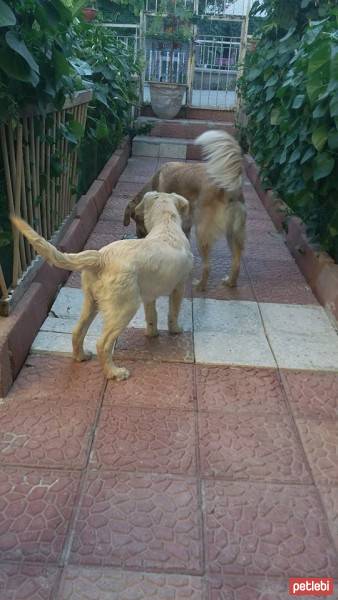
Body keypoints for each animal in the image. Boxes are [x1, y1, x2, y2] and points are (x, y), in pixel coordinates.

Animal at [10, 192, 193, 380]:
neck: (166, 225)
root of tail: (100, 257)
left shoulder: (150, 295)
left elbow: (152, 316)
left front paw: (152, 334)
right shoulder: (179, 286)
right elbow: (173, 312)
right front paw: (176, 330)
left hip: (91, 301)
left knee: (77, 332)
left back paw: (81, 356)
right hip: (125, 307)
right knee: (103, 344)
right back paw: (114, 372)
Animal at [124, 131, 246, 290]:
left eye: (138, 220)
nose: (139, 236)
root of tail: (229, 185)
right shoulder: (185, 223)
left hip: (202, 231)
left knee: (208, 266)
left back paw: (200, 286)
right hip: (233, 232)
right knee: (237, 261)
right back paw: (230, 282)